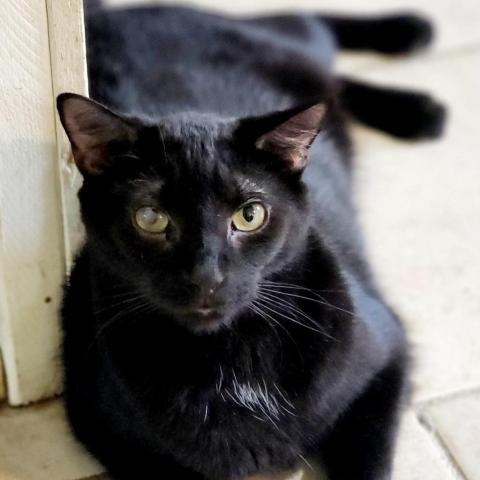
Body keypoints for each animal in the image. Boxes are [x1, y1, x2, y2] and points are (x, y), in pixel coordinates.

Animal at [56, 1, 446, 478]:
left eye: (249, 215)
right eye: (150, 218)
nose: (206, 277)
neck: (230, 357)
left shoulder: (387, 356)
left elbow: (368, 463)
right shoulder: (104, 430)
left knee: (307, 26)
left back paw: (413, 62)